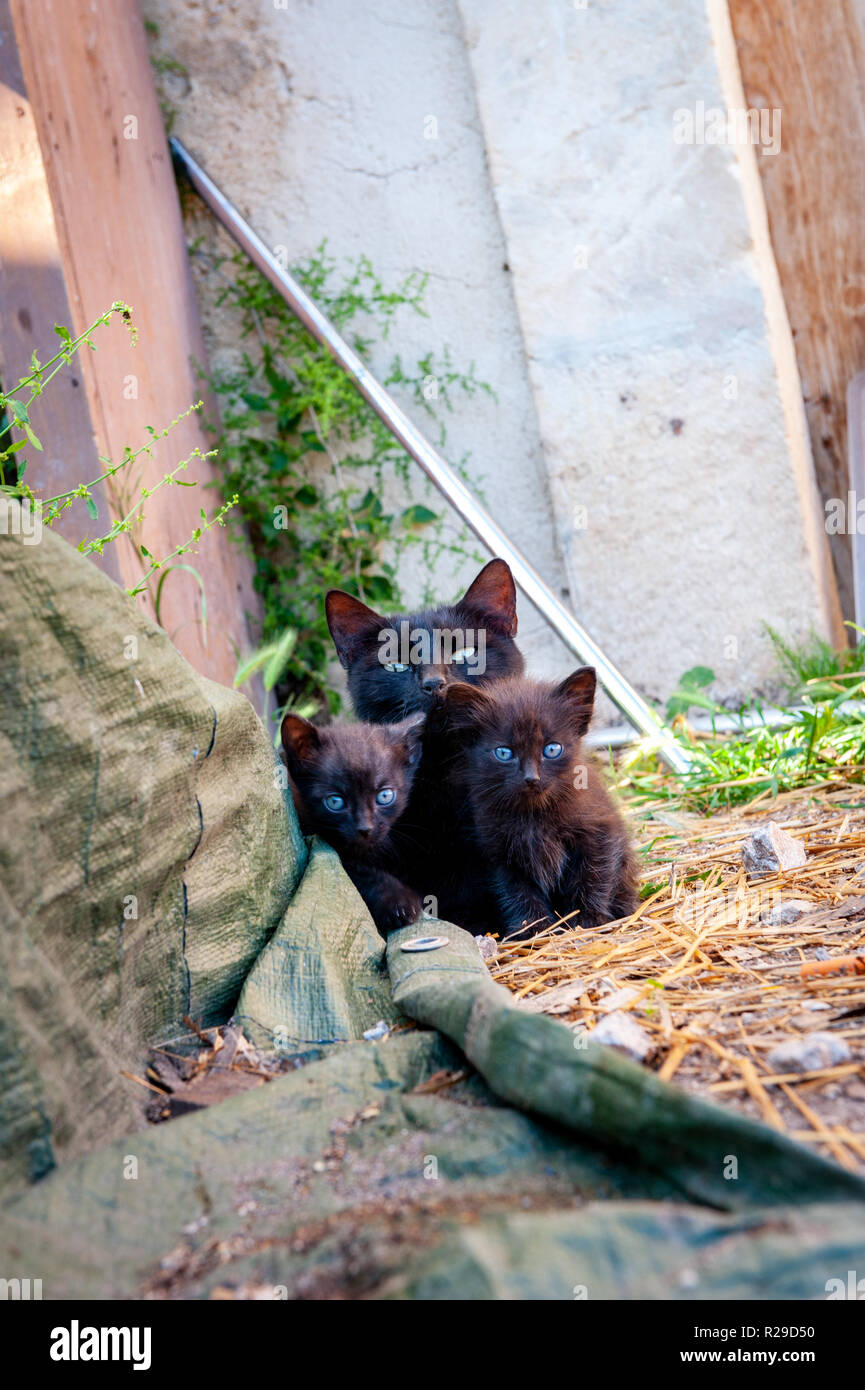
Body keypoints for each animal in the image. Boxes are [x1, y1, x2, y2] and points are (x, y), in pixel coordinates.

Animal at [445, 669, 639, 939]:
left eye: (552, 749)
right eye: (504, 753)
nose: (531, 778)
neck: (534, 815)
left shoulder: (600, 831)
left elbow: (594, 874)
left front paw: (588, 919)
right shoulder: (498, 852)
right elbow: (516, 891)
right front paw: (534, 928)